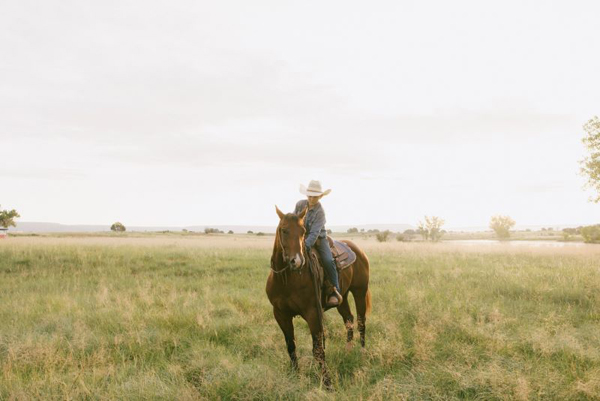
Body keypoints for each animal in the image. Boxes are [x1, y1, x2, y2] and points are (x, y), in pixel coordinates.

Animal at [266, 205, 370, 386]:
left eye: (303, 231)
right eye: (284, 230)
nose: (297, 261)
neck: (286, 279)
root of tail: (358, 250)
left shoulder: (313, 313)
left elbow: (318, 349)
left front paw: (327, 382)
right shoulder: (280, 314)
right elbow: (291, 346)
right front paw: (296, 375)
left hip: (360, 292)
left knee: (361, 322)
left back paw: (362, 353)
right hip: (342, 298)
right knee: (348, 319)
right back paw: (348, 351)